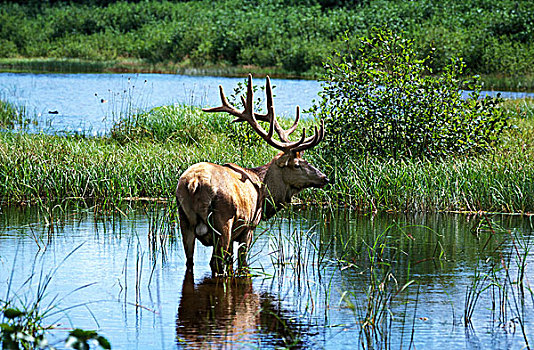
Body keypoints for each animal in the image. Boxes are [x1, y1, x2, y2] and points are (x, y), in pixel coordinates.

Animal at [176, 74, 328, 274]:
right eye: (297, 165)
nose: (324, 178)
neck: (266, 193)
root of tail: (194, 183)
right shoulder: (248, 227)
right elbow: (242, 262)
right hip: (224, 219)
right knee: (216, 262)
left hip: (184, 219)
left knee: (190, 260)